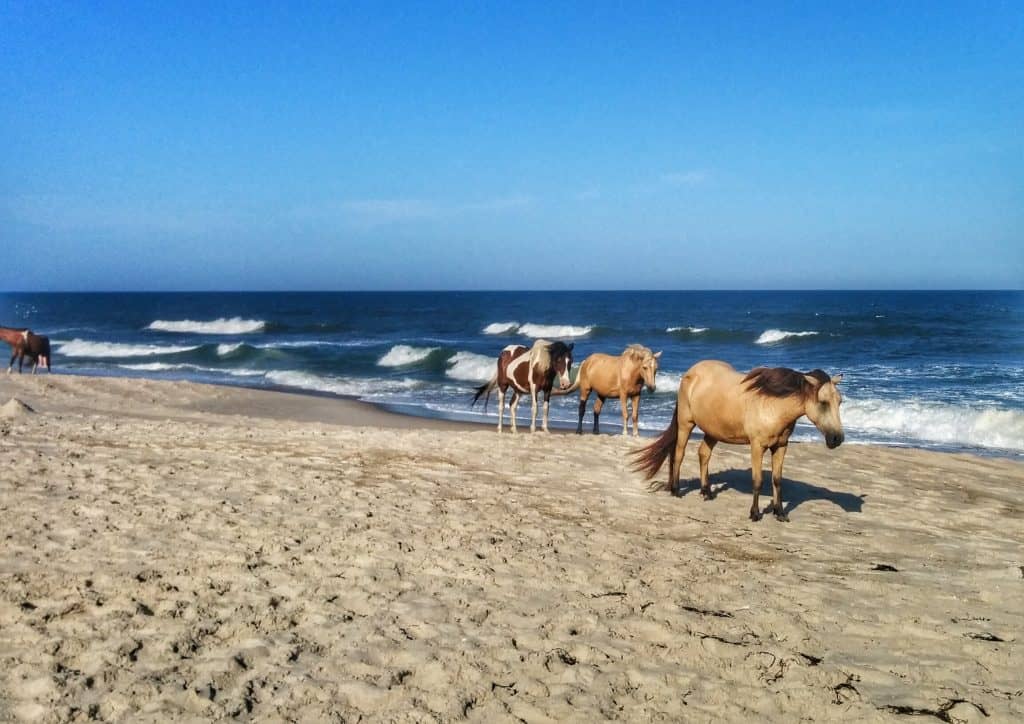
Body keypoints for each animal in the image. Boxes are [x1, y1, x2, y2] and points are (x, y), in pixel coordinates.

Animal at [630, 360, 847, 520]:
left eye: (840, 401)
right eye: (823, 402)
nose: (837, 439)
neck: (772, 404)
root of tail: (690, 373)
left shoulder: (781, 446)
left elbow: (777, 480)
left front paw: (780, 513)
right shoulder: (757, 447)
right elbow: (758, 480)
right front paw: (755, 514)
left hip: (713, 431)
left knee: (703, 454)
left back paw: (706, 492)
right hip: (685, 424)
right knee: (679, 454)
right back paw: (676, 491)